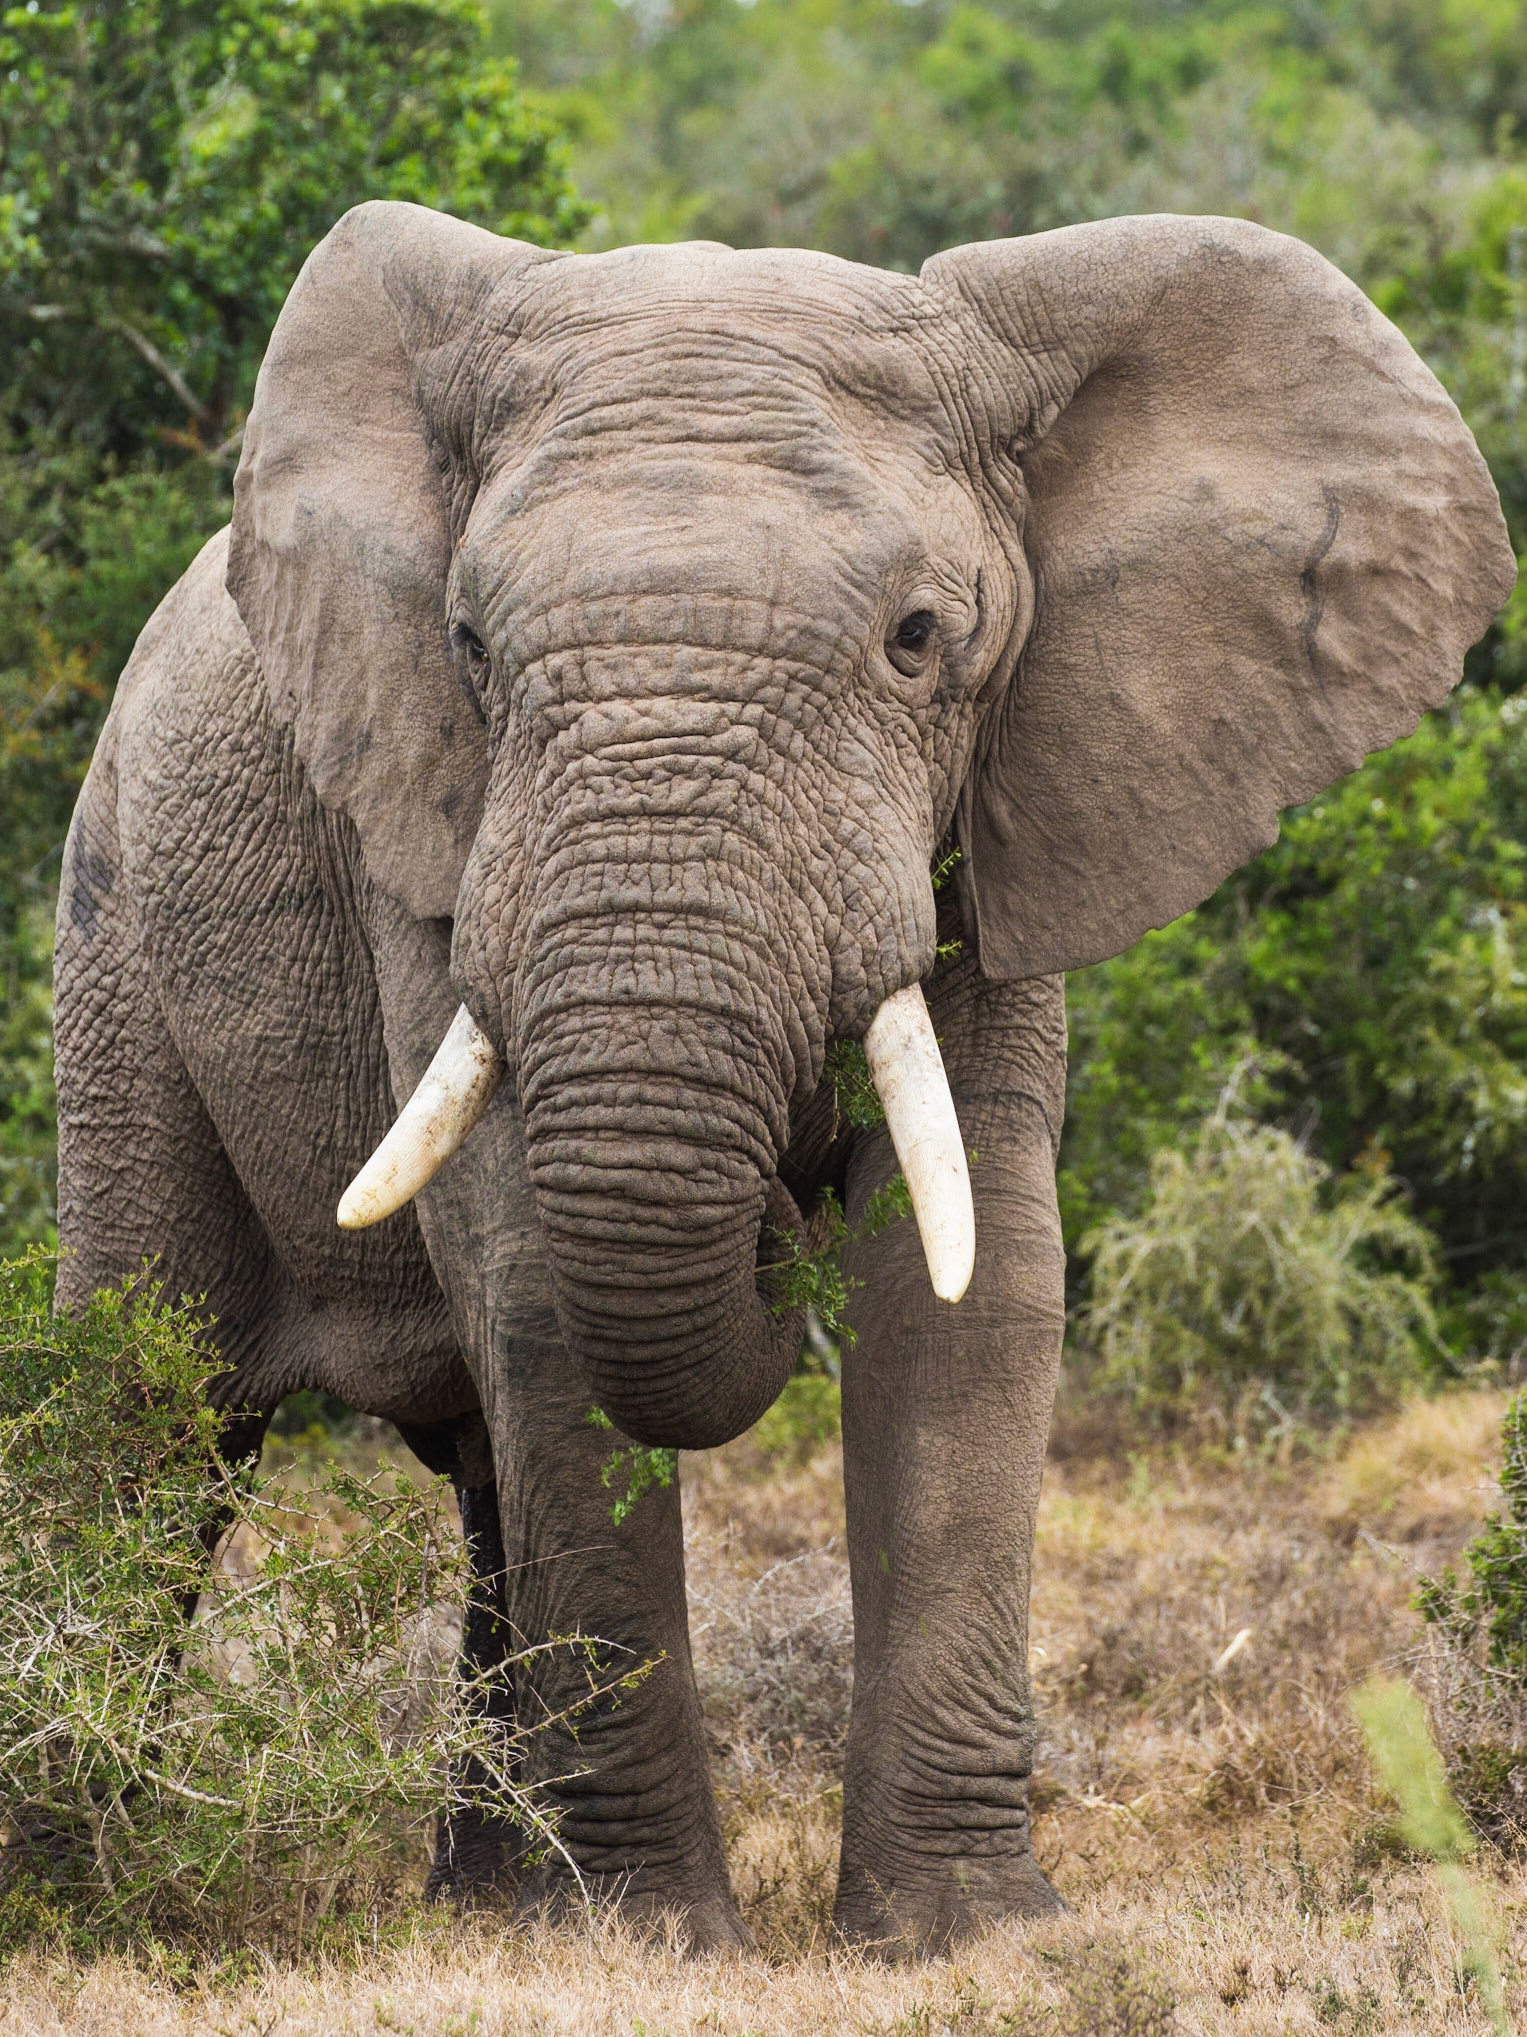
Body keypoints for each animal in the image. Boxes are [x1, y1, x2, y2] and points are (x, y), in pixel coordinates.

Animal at [53, 201, 1513, 1955]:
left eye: (918, 641)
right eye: (467, 647)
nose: (769, 1220)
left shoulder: (1013, 806)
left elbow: (966, 1280)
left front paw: (961, 1933)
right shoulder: (423, 829)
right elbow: (529, 1282)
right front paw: (648, 1942)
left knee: (450, 1473)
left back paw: (482, 1901)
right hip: (118, 939)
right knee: (147, 1406)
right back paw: (77, 1886)